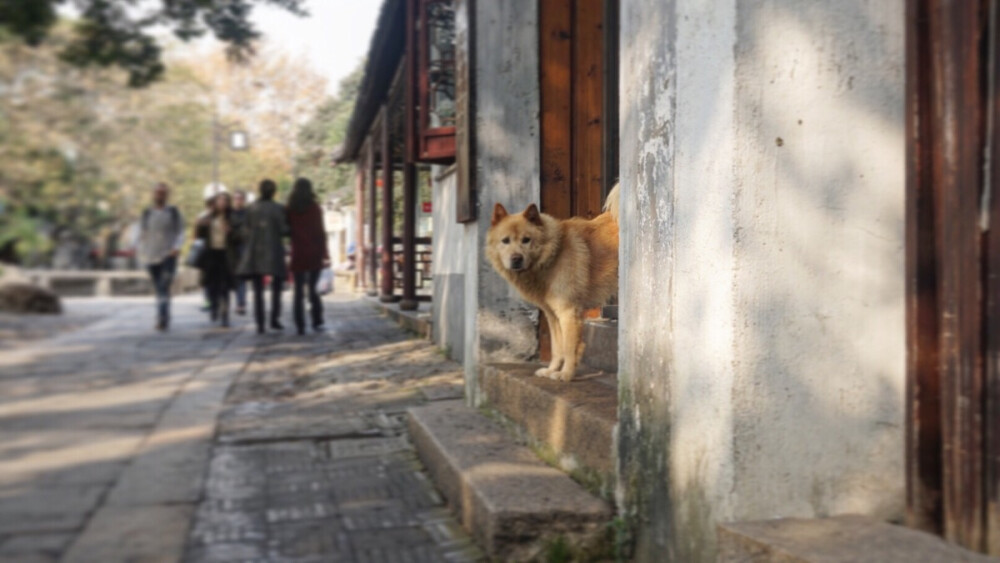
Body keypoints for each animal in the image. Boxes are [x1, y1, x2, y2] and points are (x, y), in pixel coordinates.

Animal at [486, 187, 616, 382]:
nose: (516, 259)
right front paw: (552, 370)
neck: (553, 255)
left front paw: (566, 375)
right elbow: (557, 348)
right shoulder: (553, 316)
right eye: (505, 240)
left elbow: (569, 348)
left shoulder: (568, 312)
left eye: (526, 240)